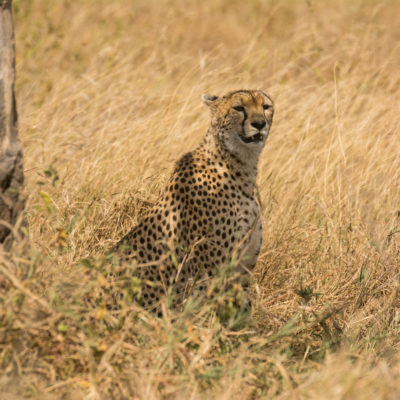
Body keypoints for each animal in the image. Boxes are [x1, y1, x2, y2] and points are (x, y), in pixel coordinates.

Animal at [114, 90, 274, 312]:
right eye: (238, 108)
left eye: (266, 106)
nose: (259, 123)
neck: (240, 167)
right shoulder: (209, 272)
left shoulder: (243, 270)